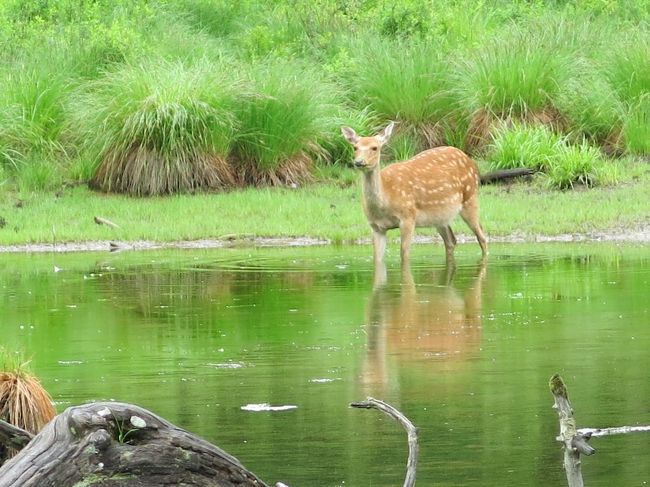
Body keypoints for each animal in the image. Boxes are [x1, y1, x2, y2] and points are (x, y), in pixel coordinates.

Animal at [340, 124, 486, 264]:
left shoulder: (408, 216)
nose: (359, 162)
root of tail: (471, 161)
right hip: (440, 216)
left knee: (482, 236)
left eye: (375, 147)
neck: (385, 201)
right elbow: (377, 258)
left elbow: (404, 254)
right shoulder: (376, 226)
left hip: (470, 197)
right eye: (355, 147)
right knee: (451, 240)